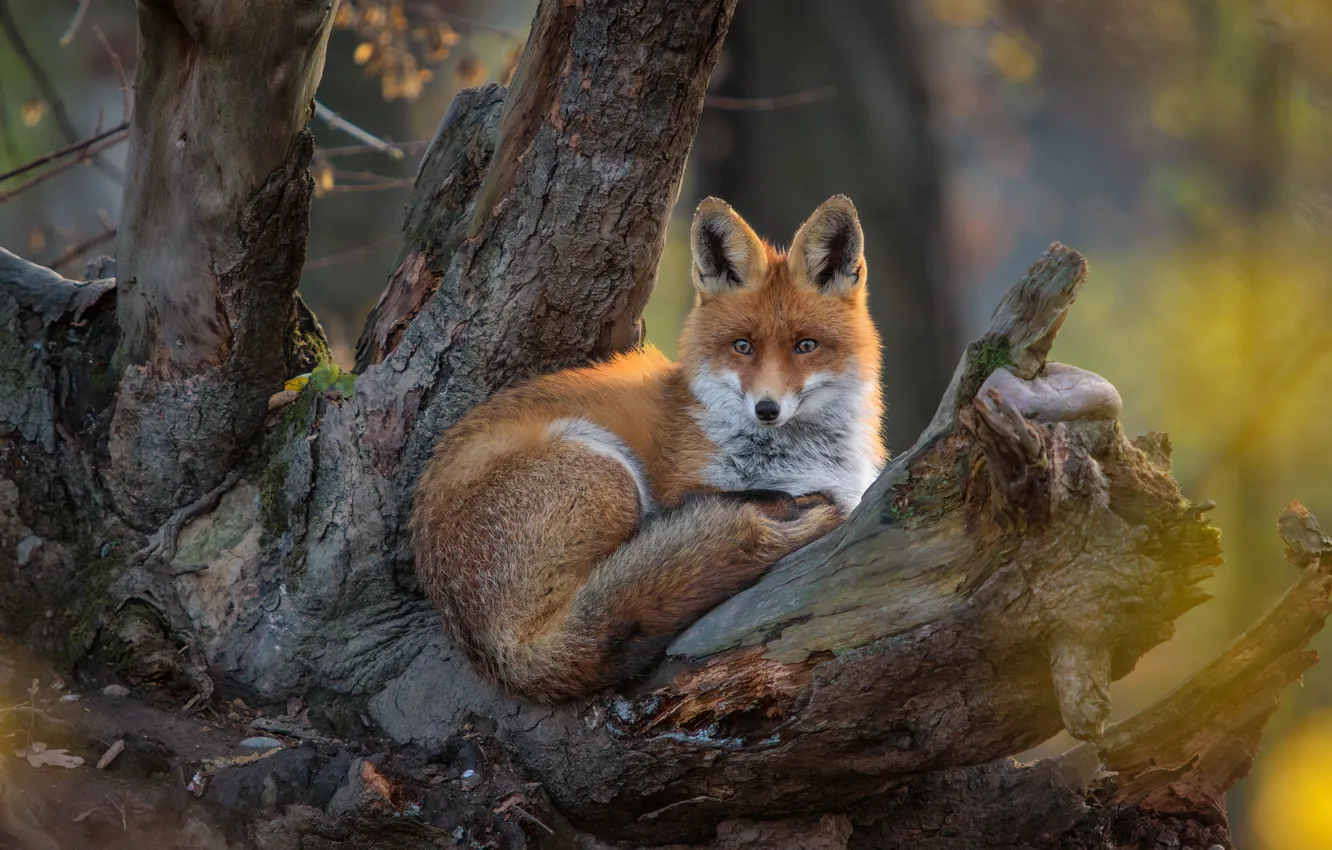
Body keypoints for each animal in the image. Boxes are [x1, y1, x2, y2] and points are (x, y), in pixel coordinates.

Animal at [409, 194, 885, 702]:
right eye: (742, 346)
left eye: (805, 346)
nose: (767, 409)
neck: (802, 456)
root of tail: (509, 656)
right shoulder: (687, 487)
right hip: (604, 467)